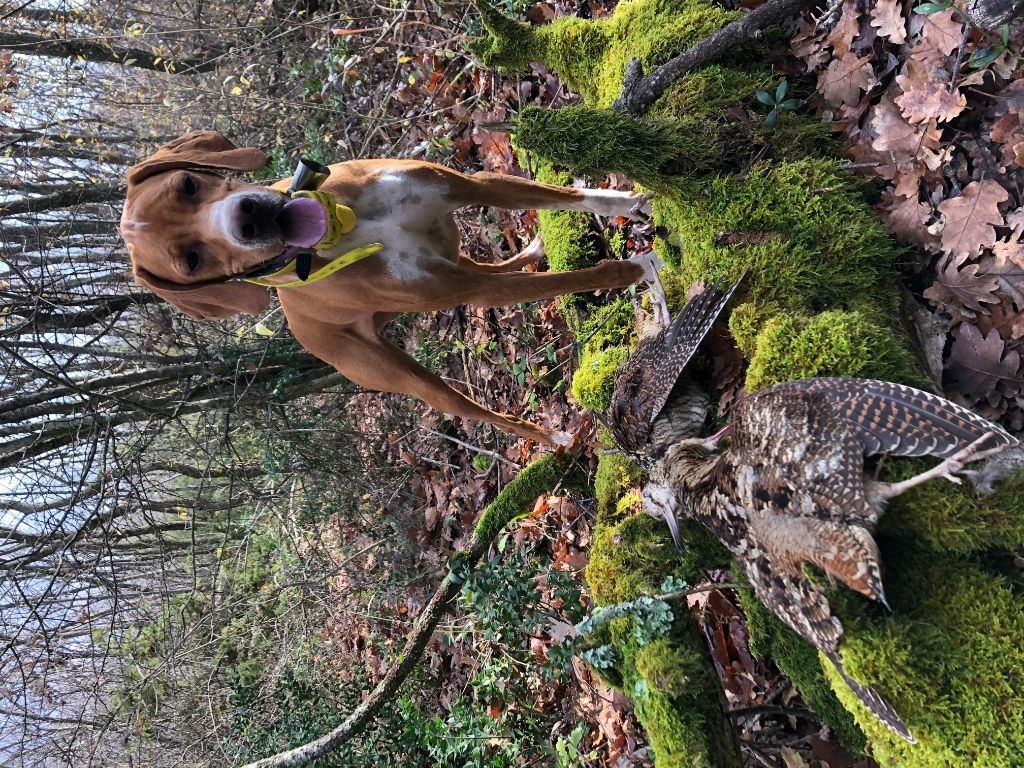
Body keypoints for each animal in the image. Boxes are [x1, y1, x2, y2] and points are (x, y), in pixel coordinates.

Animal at [121, 132, 663, 444]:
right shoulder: (471, 290)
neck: (339, 224)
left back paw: (532, 248)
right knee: (476, 399)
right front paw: (637, 269)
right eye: (191, 261)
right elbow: (577, 278)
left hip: (453, 257)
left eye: (189, 184)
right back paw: (548, 439)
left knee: (497, 265)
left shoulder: (469, 186)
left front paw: (625, 202)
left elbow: (570, 196)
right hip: (413, 374)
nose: (246, 218)